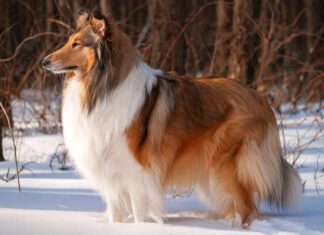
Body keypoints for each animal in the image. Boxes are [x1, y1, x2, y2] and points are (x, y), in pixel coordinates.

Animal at [42, 10, 302, 227]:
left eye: (76, 43)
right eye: (69, 41)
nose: (44, 61)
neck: (102, 88)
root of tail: (261, 99)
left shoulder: (136, 172)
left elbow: (139, 212)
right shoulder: (112, 173)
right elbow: (116, 213)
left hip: (227, 166)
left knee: (248, 208)